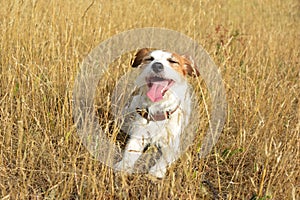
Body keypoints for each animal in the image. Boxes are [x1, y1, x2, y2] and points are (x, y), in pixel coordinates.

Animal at [114, 48, 199, 178]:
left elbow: (165, 158)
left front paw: (157, 170)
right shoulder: (139, 136)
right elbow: (130, 152)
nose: (157, 65)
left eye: (173, 61)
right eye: (150, 58)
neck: (158, 109)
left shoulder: (173, 144)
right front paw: (123, 165)